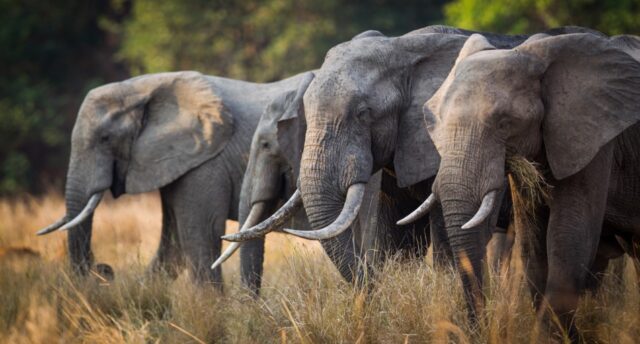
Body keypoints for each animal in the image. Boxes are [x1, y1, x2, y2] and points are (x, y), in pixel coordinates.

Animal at [36, 70, 314, 284]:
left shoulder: (204, 162)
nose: (105, 269)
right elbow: (175, 243)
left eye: (105, 139)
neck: (142, 88)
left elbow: (199, 232)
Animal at [410, 33, 640, 340]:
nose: (477, 330)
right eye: (437, 123)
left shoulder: (594, 140)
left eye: (504, 122)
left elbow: (568, 236)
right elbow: (533, 243)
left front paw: (552, 337)